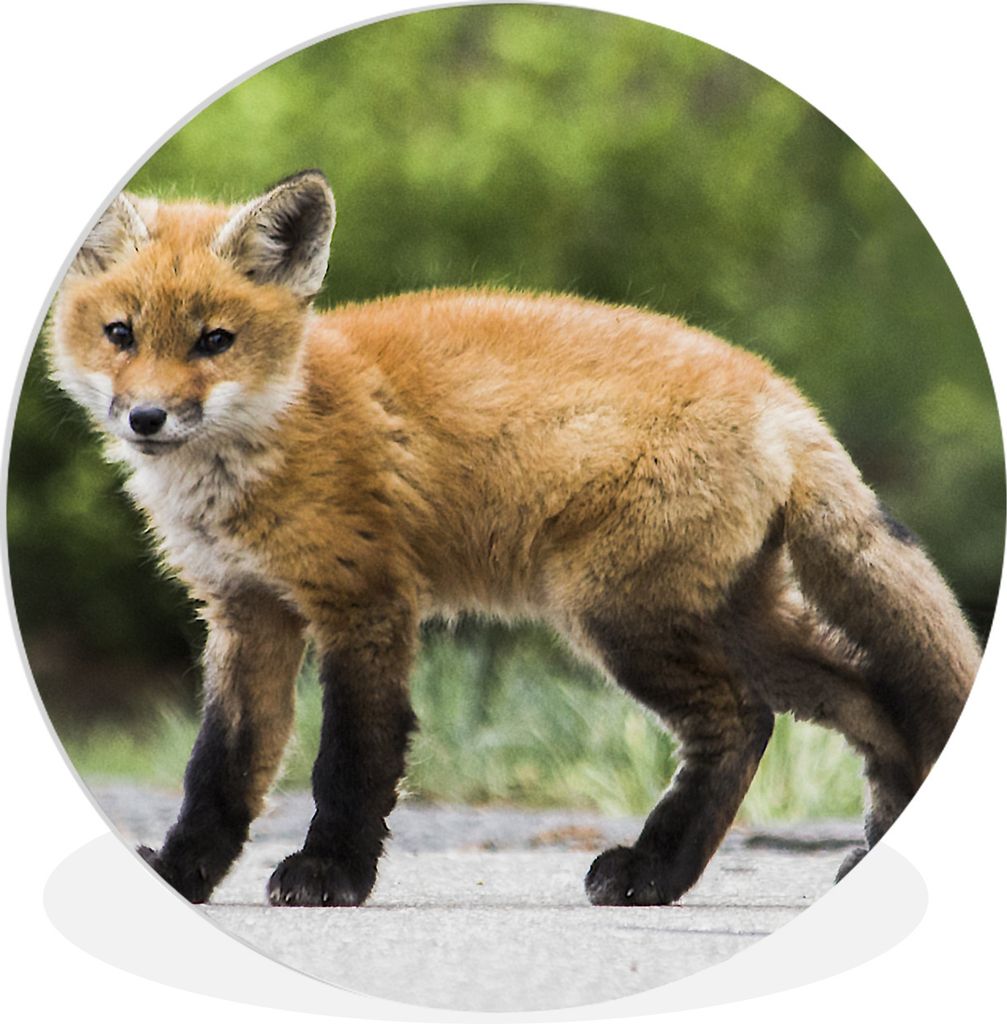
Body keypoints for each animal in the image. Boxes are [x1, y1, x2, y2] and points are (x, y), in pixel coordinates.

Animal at [48, 169, 980, 907]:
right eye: (121, 334)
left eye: (216, 341)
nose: (146, 418)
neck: (272, 438)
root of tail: (779, 393)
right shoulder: (248, 613)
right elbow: (220, 770)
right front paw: (181, 874)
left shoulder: (365, 601)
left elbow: (352, 758)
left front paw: (330, 873)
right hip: (735, 619)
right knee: (867, 700)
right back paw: (862, 846)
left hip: (619, 615)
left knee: (743, 720)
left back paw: (651, 871)